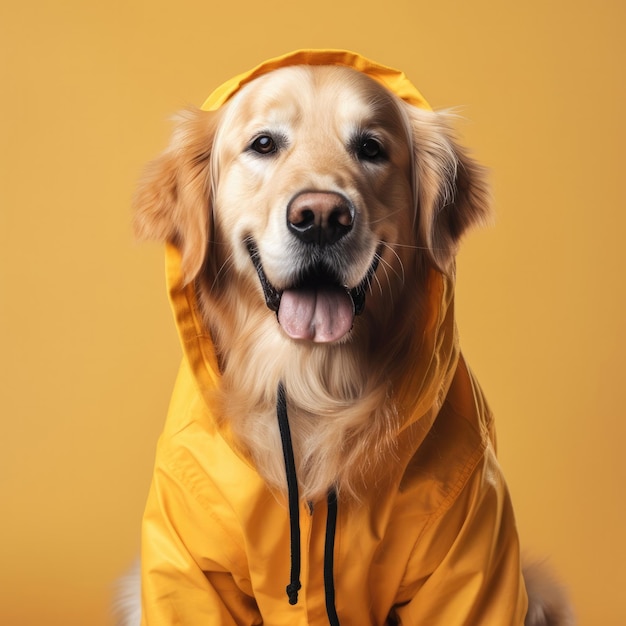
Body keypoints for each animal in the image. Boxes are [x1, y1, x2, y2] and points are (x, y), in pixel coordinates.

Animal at [119, 50, 572, 624]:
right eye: (263, 144)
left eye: (371, 148)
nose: (320, 217)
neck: (312, 381)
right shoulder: (190, 563)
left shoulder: (468, 552)